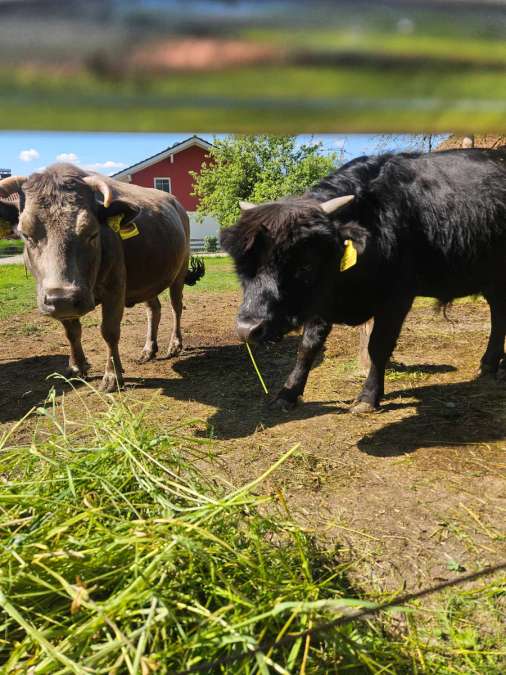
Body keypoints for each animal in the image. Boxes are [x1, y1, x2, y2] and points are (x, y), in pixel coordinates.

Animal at [0, 164, 204, 391]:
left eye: (93, 233)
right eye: (26, 235)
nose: (62, 298)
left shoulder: (115, 289)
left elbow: (109, 331)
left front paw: (112, 376)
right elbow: (72, 331)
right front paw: (77, 367)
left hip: (179, 272)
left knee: (176, 307)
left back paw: (174, 345)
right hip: (146, 280)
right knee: (154, 309)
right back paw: (148, 350)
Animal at [221, 149, 506, 413]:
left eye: (305, 265)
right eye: (243, 267)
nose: (248, 329)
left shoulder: (397, 298)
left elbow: (378, 346)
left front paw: (368, 397)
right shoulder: (321, 299)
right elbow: (307, 346)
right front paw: (288, 393)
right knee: (498, 313)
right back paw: (488, 365)